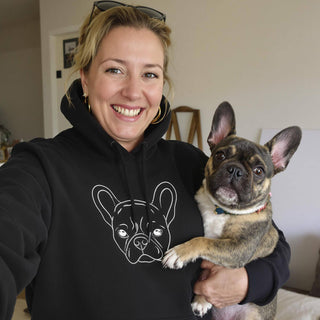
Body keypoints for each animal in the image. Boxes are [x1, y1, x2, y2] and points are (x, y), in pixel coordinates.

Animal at [164, 102, 302, 320]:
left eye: (259, 171)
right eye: (220, 155)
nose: (235, 170)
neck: (222, 210)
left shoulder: (239, 247)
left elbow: (202, 241)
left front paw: (179, 253)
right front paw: (201, 300)